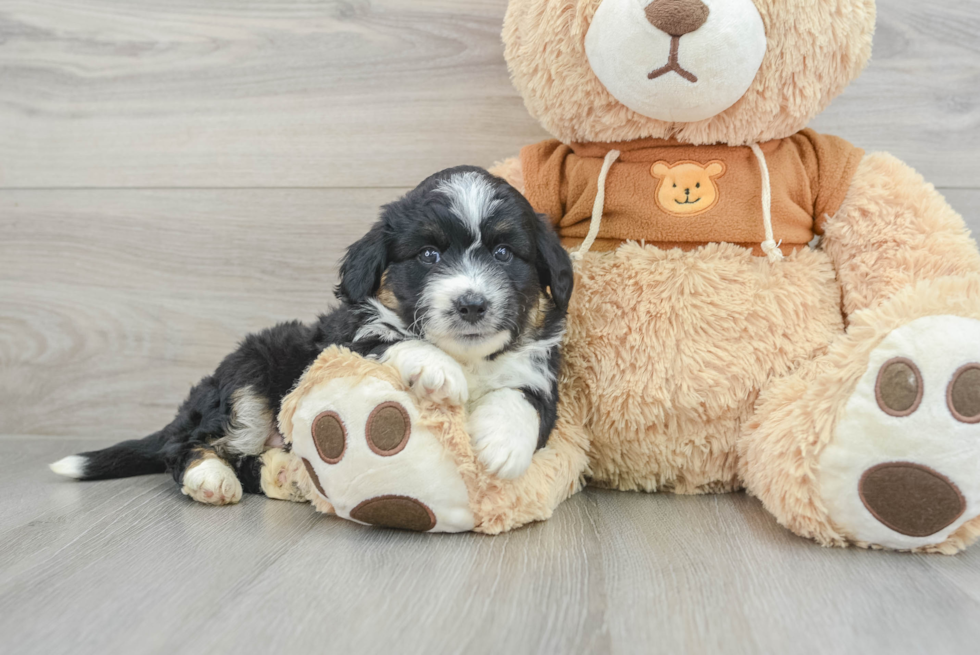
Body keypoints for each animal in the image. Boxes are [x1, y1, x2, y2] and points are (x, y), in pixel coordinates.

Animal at [49, 167, 576, 504]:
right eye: (429, 255)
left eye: (505, 253)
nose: (471, 304)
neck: (470, 358)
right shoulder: (345, 336)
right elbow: (387, 337)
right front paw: (436, 368)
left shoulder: (542, 369)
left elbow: (524, 398)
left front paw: (503, 447)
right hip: (247, 380)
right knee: (188, 445)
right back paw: (210, 478)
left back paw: (283, 473)